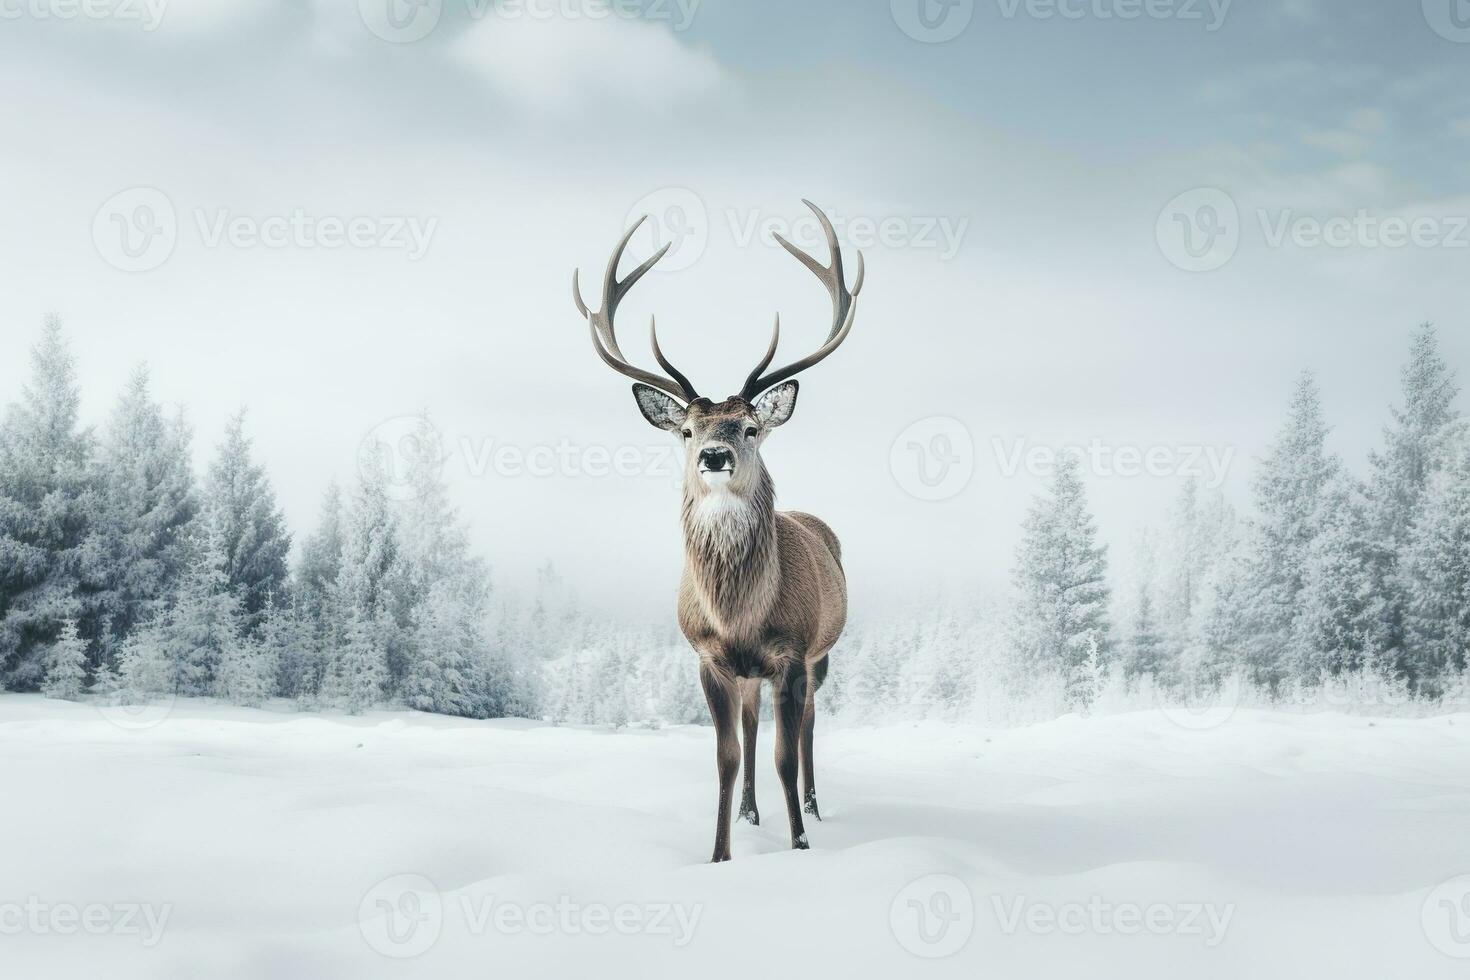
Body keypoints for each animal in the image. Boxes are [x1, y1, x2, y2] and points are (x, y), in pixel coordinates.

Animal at [567, 202, 858, 863]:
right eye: (686, 430)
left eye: (750, 426)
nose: (715, 455)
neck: (740, 616)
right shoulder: (708, 657)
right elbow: (726, 758)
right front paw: (721, 853)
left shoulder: (793, 653)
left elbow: (784, 754)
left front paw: (800, 845)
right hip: (751, 675)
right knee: (752, 728)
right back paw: (752, 811)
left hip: (822, 654)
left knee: (807, 725)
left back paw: (811, 806)